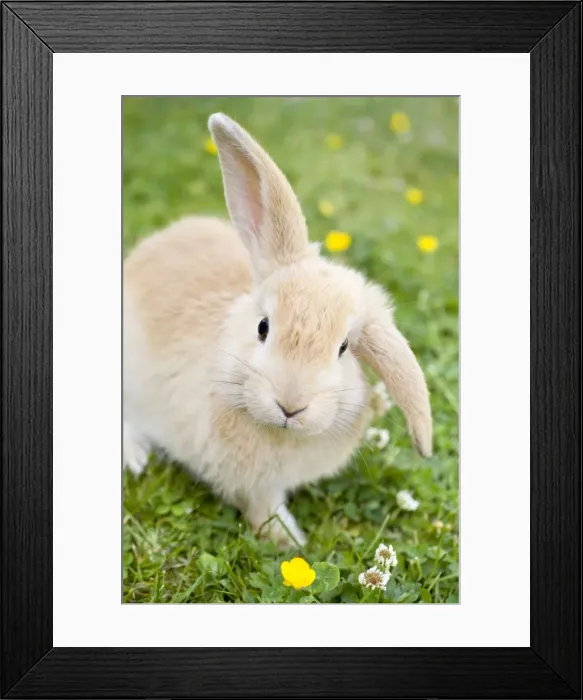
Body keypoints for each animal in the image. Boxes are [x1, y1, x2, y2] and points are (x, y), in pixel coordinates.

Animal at [123, 113, 432, 547]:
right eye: (263, 326)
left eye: (343, 348)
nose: (290, 405)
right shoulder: (249, 483)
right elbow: (261, 507)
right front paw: (290, 541)